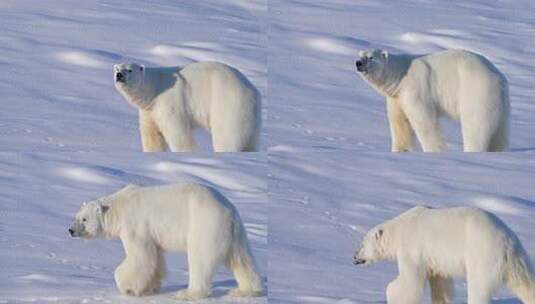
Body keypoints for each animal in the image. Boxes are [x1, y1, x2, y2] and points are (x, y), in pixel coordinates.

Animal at [69, 183, 266, 300]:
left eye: (84, 219)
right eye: (76, 216)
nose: (71, 230)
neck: (119, 207)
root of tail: (229, 211)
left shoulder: (135, 225)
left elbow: (140, 257)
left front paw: (128, 288)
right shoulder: (151, 234)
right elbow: (155, 258)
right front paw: (150, 288)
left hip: (206, 225)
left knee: (200, 259)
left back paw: (188, 293)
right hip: (235, 234)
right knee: (241, 259)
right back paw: (246, 290)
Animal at [114, 61, 262, 152]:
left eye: (130, 70)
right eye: (117, 68)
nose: (119, 75)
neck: (155, 87)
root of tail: (253, 91)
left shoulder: (170, 101)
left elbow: (178, 133)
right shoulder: (150, 110)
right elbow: (152, 136)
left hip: (228, 104)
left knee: (227, 135)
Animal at [352, 205, 535, 302]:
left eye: (362, 244)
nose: (354, 256)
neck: (398, 229)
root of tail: (507, 241)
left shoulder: (412, 247)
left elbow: (409, 281)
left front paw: (391, 294)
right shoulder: (434, 260)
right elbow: (440, 283)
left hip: (483, 255)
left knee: (478, 287)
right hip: (517, 260)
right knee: (525, 283)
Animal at [356, 49, 510, 152]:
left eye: (371, 57)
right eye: (360, 55)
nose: (358, 63)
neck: (401, 73)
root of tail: (499, 78)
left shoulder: (416, 88)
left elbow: (423, 120)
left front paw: (435, 150)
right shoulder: (397, 97)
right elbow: (400, 123)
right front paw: (400, 150)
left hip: (475, 92)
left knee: (475, 125)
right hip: (498, 104)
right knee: (498, 132)